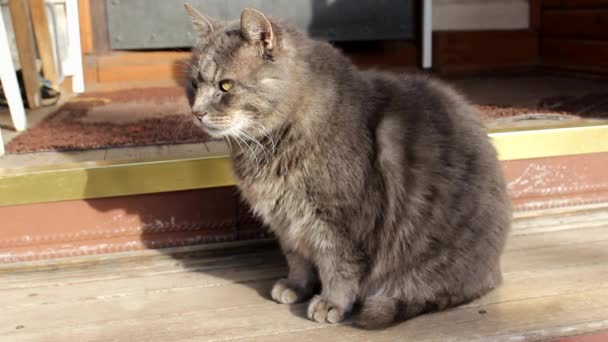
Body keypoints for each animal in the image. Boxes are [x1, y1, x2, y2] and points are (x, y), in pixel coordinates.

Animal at [185, 4, 512, 328]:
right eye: (194, 83)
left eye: (225, 85)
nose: (196, 112)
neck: (270, 146)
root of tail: (494, 268)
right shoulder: (287, 223)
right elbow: (298, 260)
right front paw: (296, 287)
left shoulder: (339, 224)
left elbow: (339, 268)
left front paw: (330, 303)